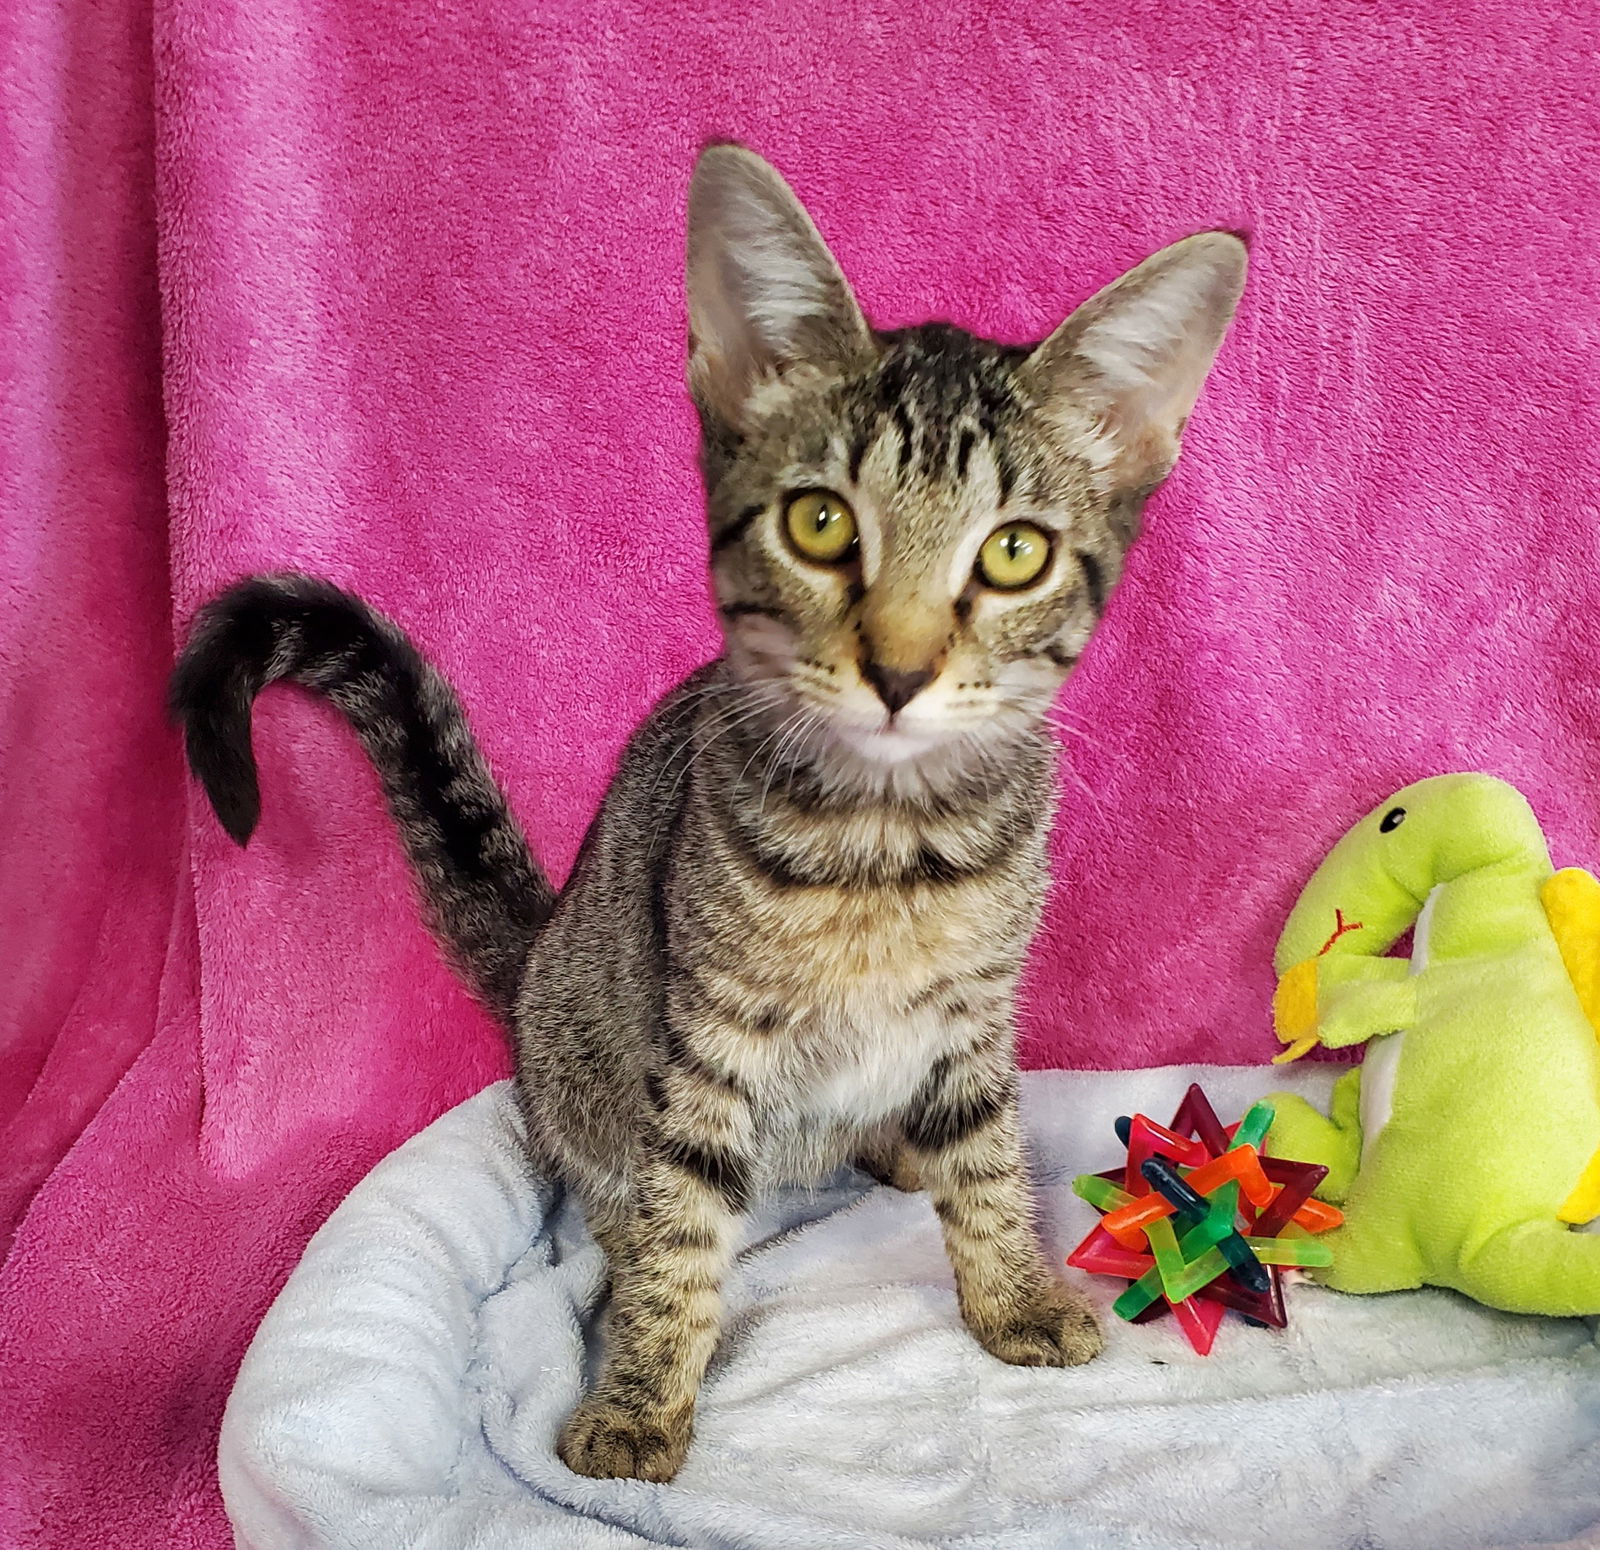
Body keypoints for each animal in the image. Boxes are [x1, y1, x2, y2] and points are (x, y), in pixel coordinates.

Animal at [175, 147, 1248, 1490]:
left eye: (1013, 552)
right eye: (821, 522)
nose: (900, 669)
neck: (884, 846)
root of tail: (540, 952)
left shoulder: (972, 1015)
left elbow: (988, 1154)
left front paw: (1010, 1286)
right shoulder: (705, 1039)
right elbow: (682, 1223)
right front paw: (641, 1395)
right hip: (588, 1051)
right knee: (620, 1189)